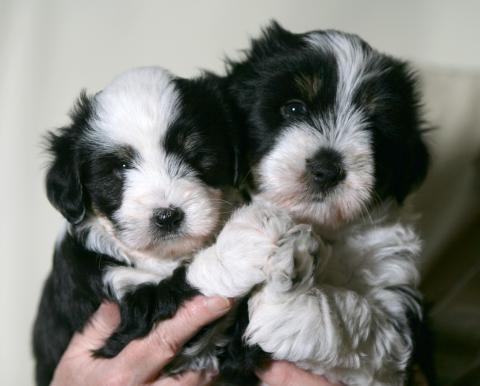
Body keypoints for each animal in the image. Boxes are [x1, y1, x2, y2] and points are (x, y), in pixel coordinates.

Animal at [32, 67, 248, 386]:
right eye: (119, 168)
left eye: (196, 153)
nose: (167, 216)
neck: (162, 258)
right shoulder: (125, 296)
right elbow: (183, 284)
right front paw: (238, 248)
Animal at [215, 23, 432, 386]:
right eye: (293, 109)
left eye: (374, 127)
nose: (327, 170)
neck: (325, 228)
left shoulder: (396, 306)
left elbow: (362, 321)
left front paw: (287, 306)